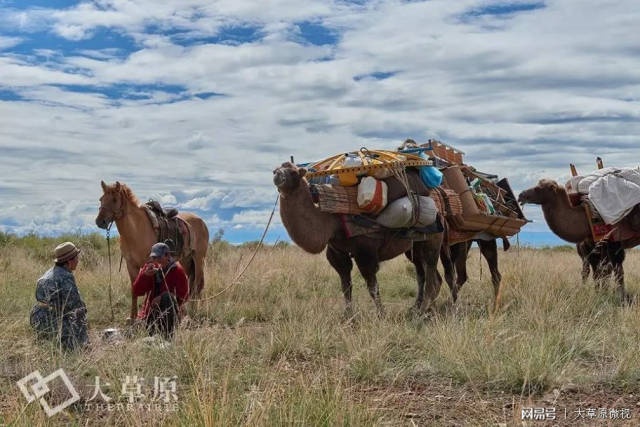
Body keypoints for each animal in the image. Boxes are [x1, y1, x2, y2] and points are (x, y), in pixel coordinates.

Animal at [95, 179, 210, 320]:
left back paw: (194, 312)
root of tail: (202, 222)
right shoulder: (131, 265)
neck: (135, 229)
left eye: (115, 200)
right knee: (190, 284)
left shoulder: (149, 263)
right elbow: (134, 289)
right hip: (186, 260)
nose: (100, 222)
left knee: (198, 284)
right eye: (101, 199)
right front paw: (132, 317)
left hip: (199, 258)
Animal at [274, 162, 444, 316]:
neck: (333, 224)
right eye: (276, 169)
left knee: (431, 277)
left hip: (433, 241)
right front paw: (348, 315)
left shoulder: (366, 252)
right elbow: (346, 286)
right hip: (415, 246)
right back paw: (423, 309)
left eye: (294, 172)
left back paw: (422, 312)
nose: (277, 175)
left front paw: (381, 314)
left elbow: (372, 287)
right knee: (427, 276)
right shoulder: (337, 252)